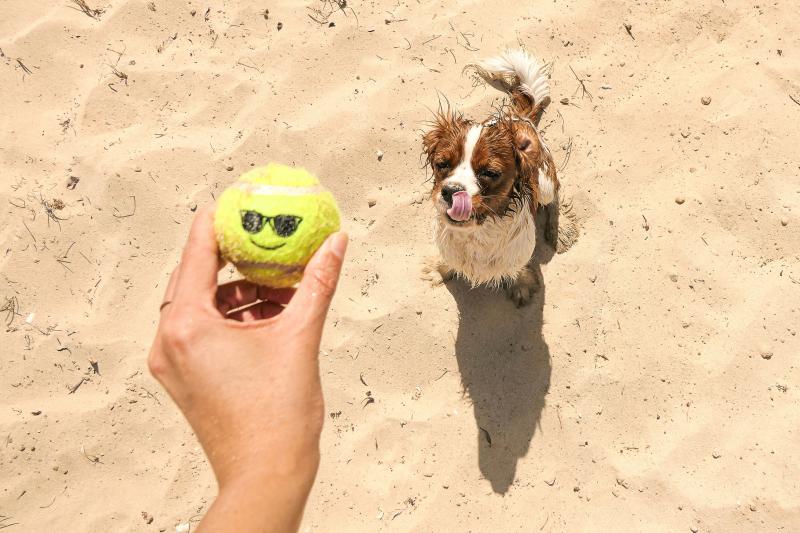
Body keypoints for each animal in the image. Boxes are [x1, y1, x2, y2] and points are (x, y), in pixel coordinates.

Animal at [418, 50, 568, 308]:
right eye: (442, 164)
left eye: (489, 173)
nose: (450, 191)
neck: (477, 232)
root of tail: (518, 118)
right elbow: (447, 260)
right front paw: (439, 270)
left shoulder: (521, 250)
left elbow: (519, 267)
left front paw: (521, 285)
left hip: (545, 184)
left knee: (555, 196)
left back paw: (557, 230)